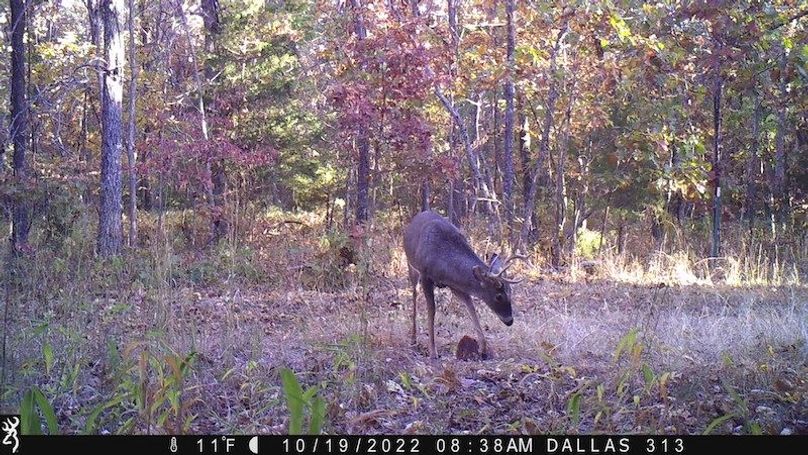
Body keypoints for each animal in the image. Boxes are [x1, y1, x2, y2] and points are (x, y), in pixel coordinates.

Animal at [403, 210, 524, 359]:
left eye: (511, 292)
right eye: (499, 296)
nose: (509, 321)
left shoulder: (455, 284)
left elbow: (471, 306)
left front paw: (483, 349)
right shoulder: (426, 275)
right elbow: (432, 310)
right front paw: (433, 351)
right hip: (411, 266)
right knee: (414, 295)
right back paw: (413, 339)